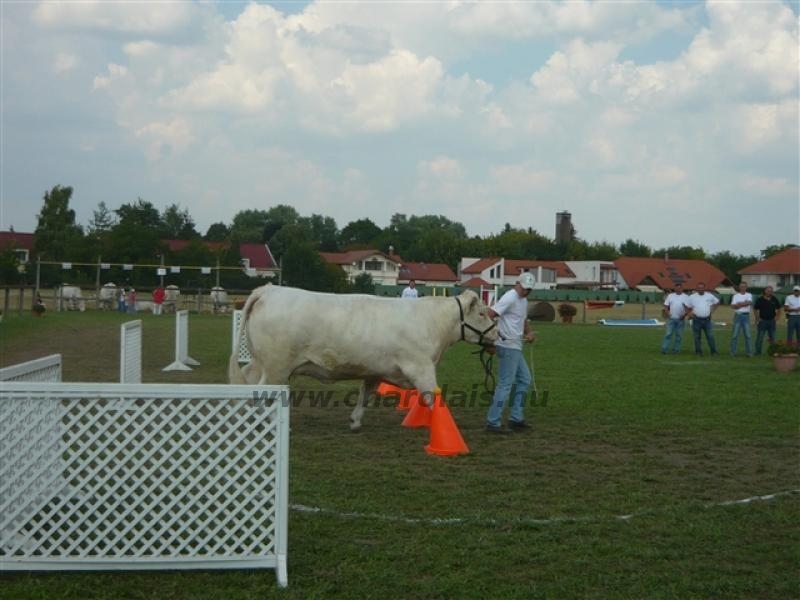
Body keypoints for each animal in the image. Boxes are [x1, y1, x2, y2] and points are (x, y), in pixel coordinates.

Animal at [228, 286, 496, 432]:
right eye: (483, 313)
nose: (498, 334)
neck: (433, 322)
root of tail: (269, 290)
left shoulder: (375, 371)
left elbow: (365, 394)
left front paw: (355, 421)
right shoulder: (421, 367)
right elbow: (433, 397)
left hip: (260, 361)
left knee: (248, 382)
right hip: (277, 367)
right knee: (261, 392)